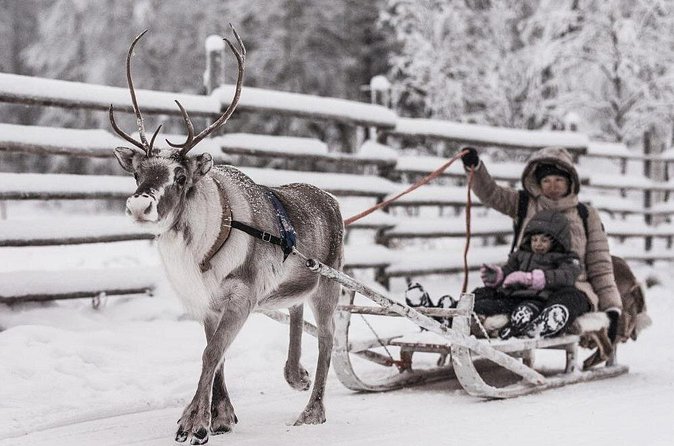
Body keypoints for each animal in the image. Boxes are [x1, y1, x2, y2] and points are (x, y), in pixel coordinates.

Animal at [109, 27, 344, 445]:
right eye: (137, 173)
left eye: (180, 176)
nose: (139, 205)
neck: (200, 251)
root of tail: (332, 200)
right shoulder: (207, 304)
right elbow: (215, 355)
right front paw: (220, 417)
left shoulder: (241, 297)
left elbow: (210, 354)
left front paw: (193, 422)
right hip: (296, 280)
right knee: (296, 308)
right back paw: (294, 374)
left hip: (329, 283)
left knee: (328, 337)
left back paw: (312, 410)